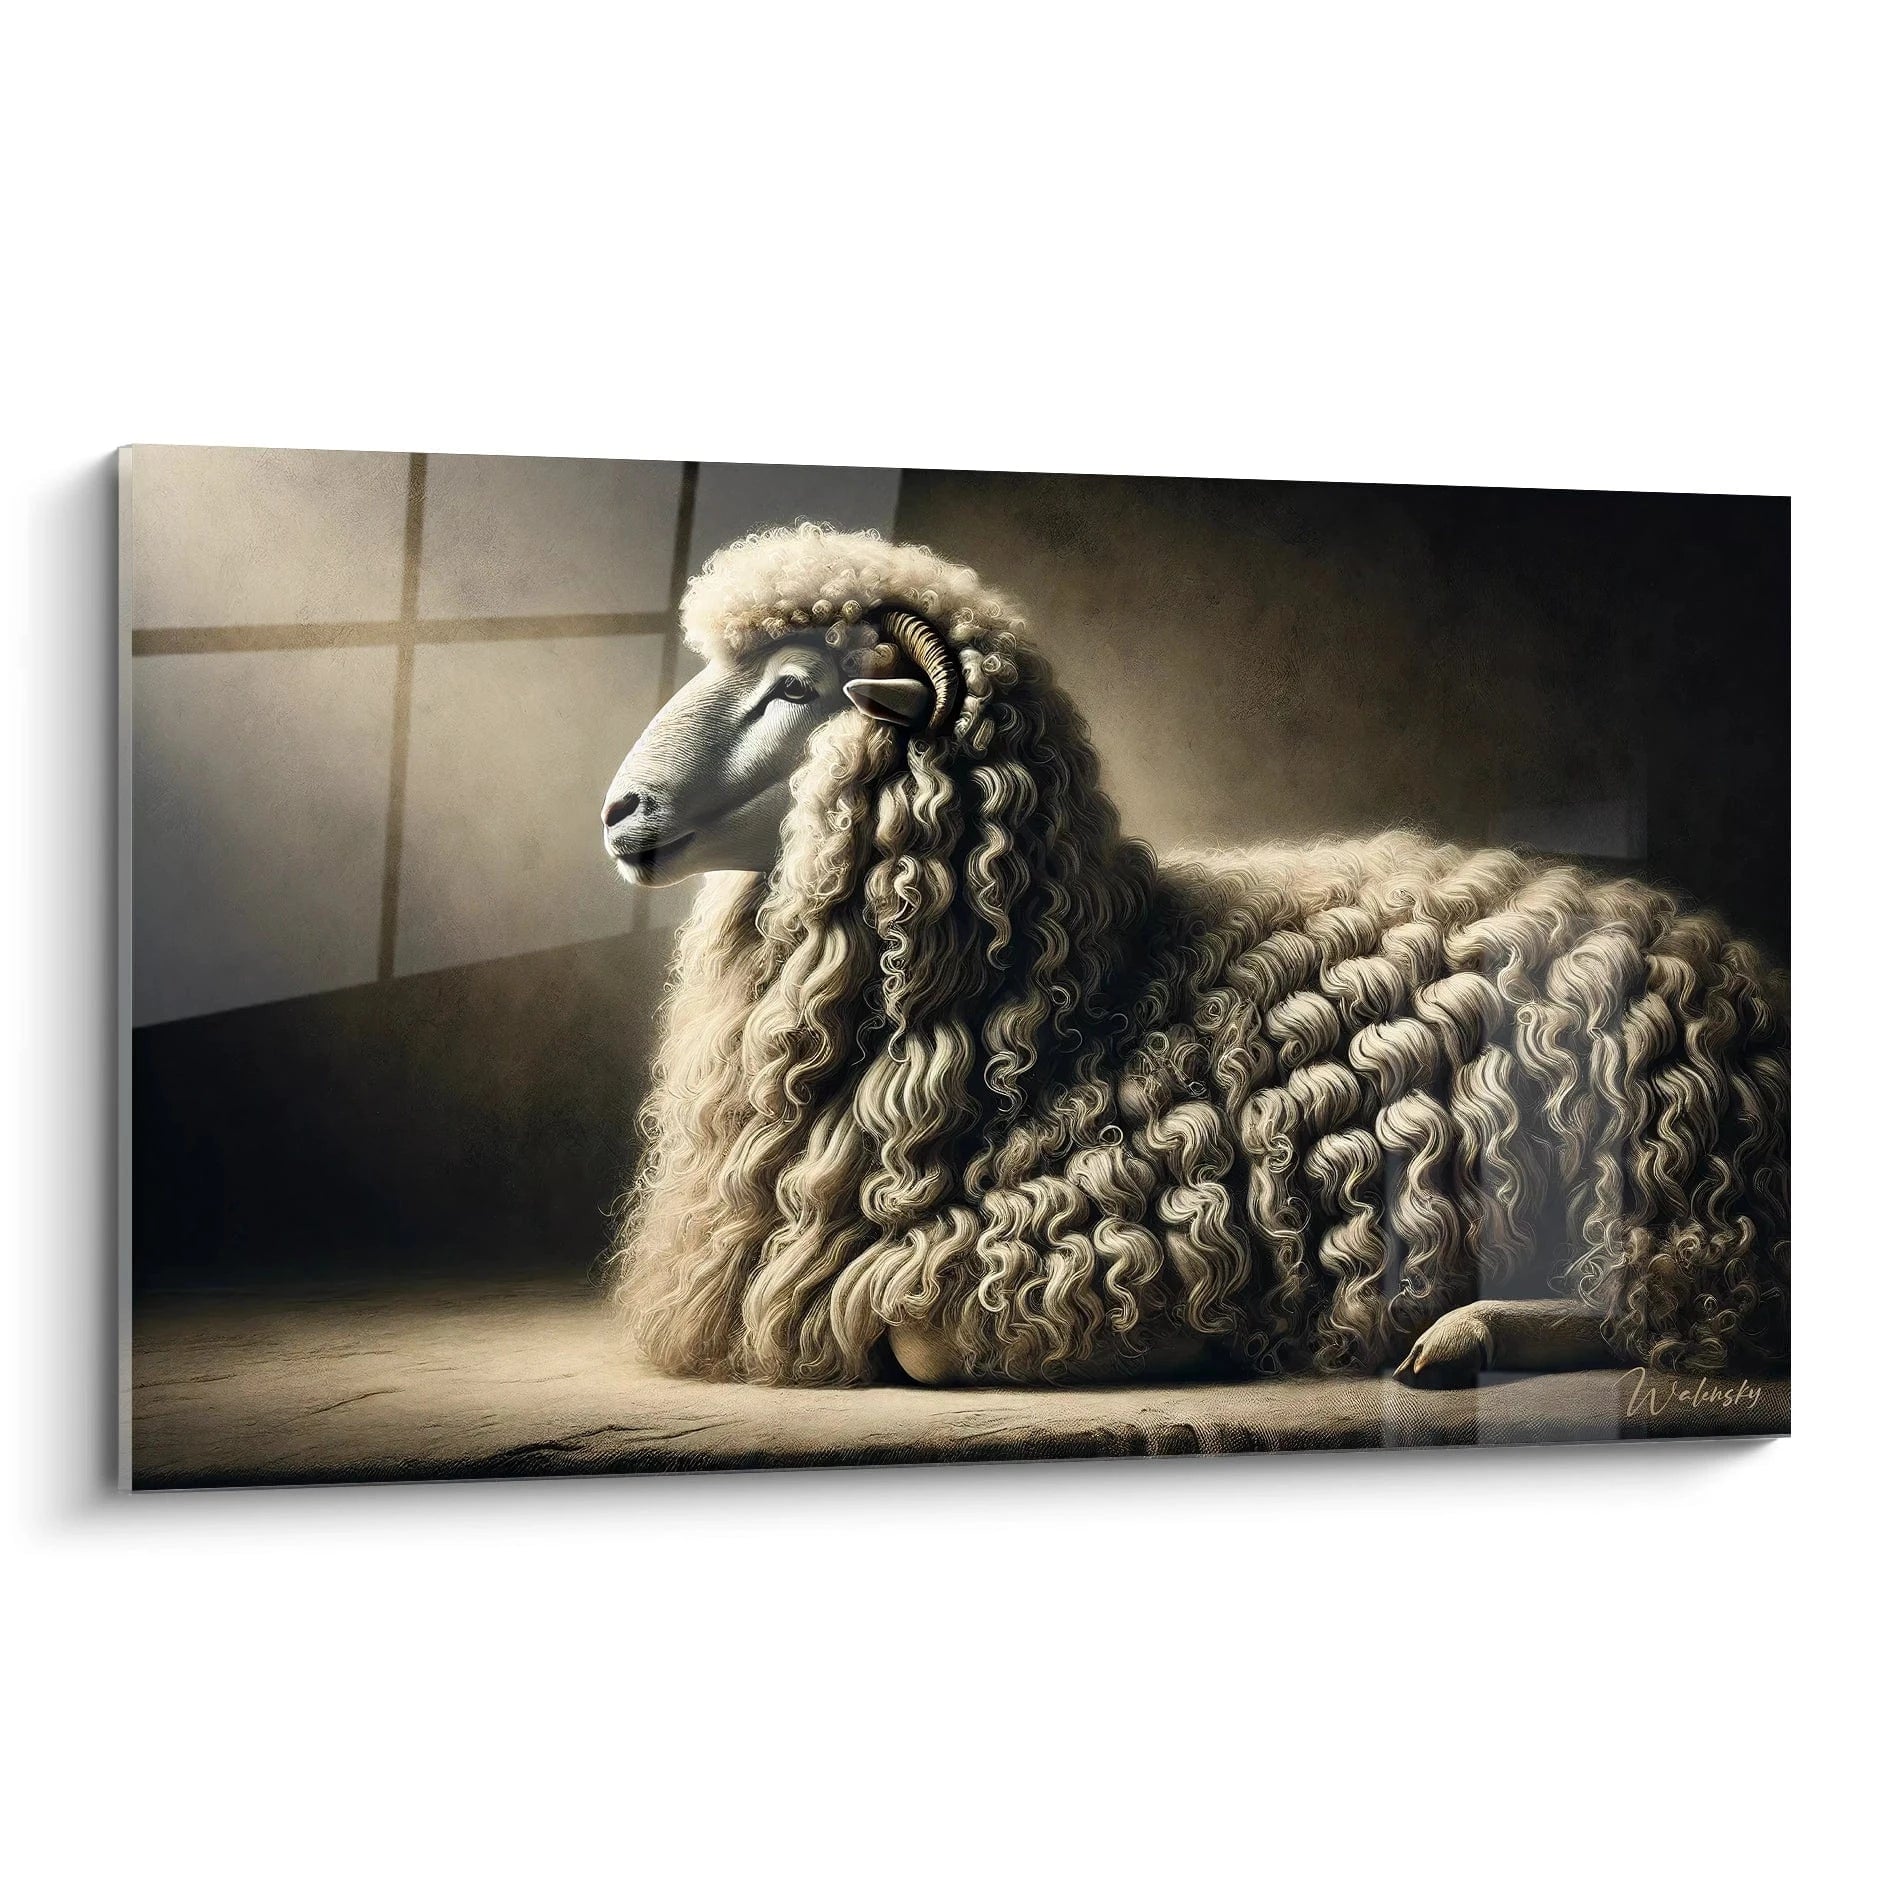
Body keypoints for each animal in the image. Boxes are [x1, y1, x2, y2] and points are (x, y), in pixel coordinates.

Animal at [600, 524, 1789, 1390]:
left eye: (797, 687)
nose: (620, 812)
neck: (1065, 993)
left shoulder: (1090, 1229)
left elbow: (923, 1341)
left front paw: (1187, 1337)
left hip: (1658, 1167)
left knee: (1678, 1306)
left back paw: (1461, 1334)